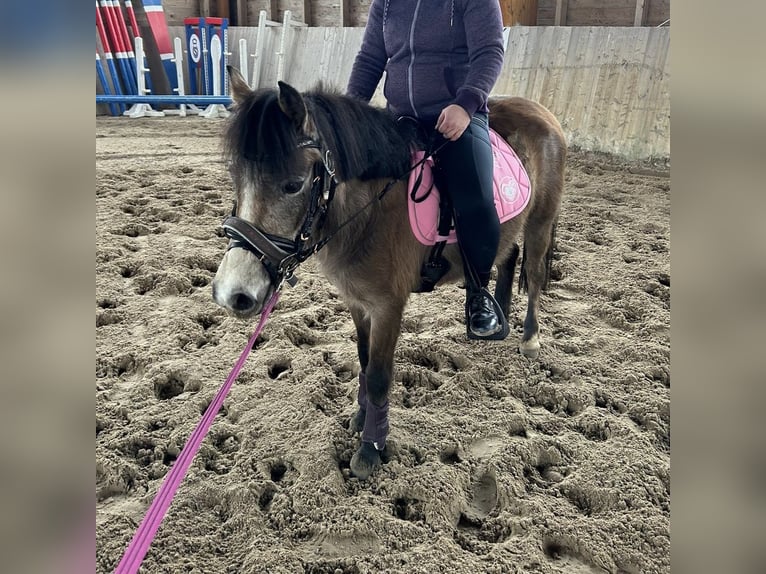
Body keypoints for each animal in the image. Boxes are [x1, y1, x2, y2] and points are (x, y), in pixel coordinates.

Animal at [213, 67, 568, 482]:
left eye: (293, 184)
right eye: (236, 176)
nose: (233, 293)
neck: (370, 211)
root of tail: (540, 111)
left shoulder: (388, 306)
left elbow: (381, 375)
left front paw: (371, 448)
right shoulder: (357, 301)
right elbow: (365, 363)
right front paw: (360, 418)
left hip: (540, 222)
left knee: (534, 273)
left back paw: (529, 337)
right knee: (506, 256)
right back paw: (495, 319)